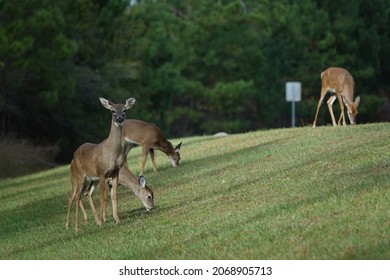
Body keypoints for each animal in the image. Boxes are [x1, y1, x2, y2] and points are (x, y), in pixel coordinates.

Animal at [66, 96, 136, 232]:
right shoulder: (101, 172)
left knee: (84, 195)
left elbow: (114, 195)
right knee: (75, 197)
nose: (119, 119)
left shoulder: (115, 172)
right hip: (79, 177)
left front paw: (117, 220)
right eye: (113, 111)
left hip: (91, 180)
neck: (111, 151)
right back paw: (75, 227)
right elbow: (103, 197)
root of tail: (74, 154)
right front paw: (102, 223)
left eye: (124, 110)